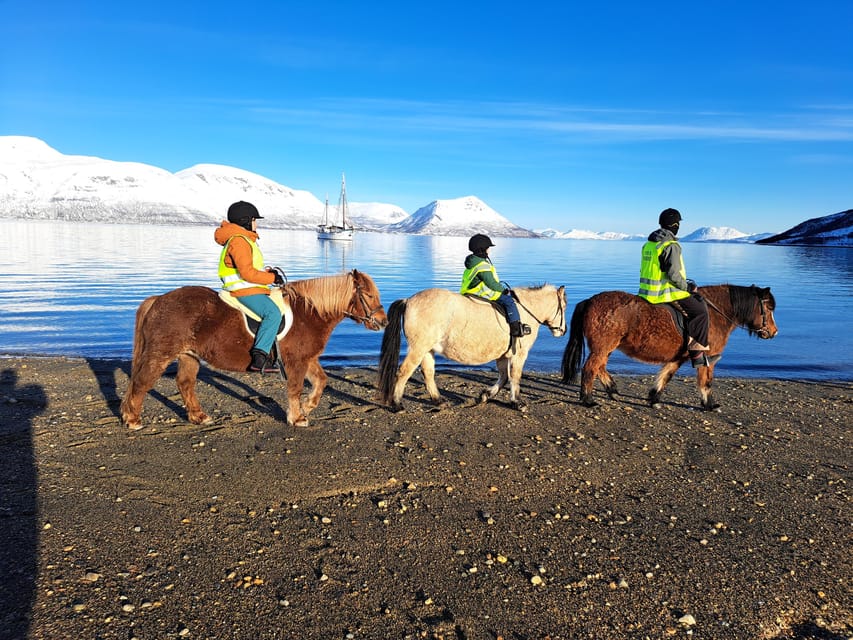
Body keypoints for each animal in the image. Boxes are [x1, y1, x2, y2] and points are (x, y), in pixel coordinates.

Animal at [120, 270, 386, 430]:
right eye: (369, 294)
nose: (383, 322)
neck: (309, 313)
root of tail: (159, 299)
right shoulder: (296, 362)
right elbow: (296, 389)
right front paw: (297, 417)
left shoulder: (308, 359)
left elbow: (321, 381)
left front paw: (308, 407)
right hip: (160, 354)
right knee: (142, 382)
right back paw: (133, 420)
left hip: (189, 356)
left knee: (185, 383)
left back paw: (199, 416)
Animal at [378, 284, 564, 410]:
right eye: (563, 307)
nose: (563, 330)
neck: (524, 310)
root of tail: (408, 300)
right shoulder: (519, 354)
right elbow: (515, 377)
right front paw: (517, 402)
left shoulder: (502, 355)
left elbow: (504, 377)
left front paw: (485, 395)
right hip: (418, 348)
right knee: (403, 372)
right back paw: (397, 404)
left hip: (427, 350)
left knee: (428, 373)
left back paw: (438, 400)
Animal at [560, 284, 780, 410]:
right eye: (768, 308)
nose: (774, 332)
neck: (715, 313)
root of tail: (590, 301)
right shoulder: (708, 356)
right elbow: (706, 381)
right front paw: (709, 404)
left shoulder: (679, 357)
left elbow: (666, 375)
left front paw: (654, 398)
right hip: (603, 347)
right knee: (590, 368)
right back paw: (588, 399)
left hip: (606, 347)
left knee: (600, 367)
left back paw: (612, 390)